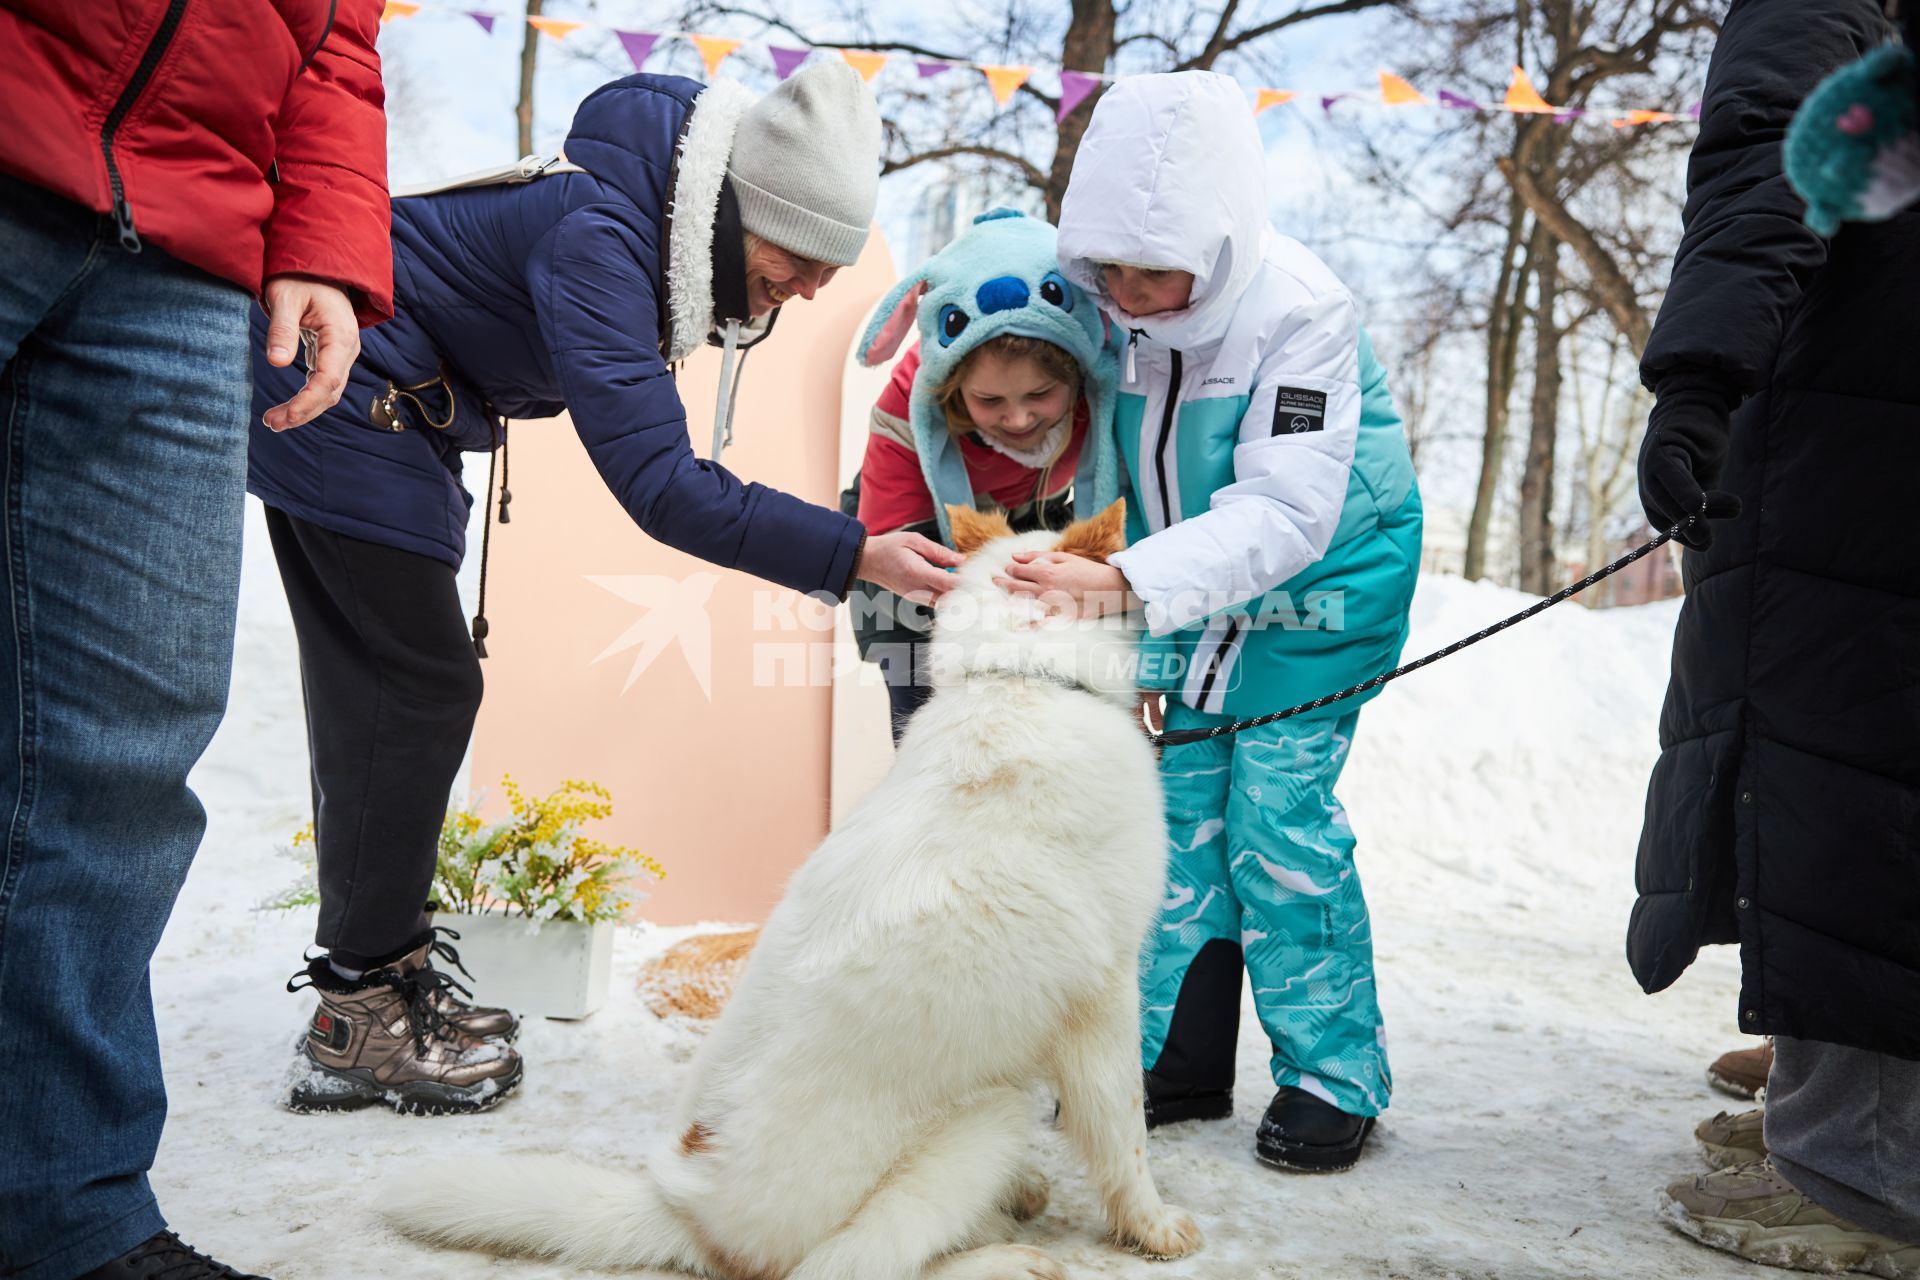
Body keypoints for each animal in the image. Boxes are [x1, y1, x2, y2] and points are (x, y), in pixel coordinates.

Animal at [384, 502, 1198, 1280]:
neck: (1022, 678)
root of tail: (687, 1217)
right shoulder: (1105, 997)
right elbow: (1125, 1134)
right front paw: (1154, 1227)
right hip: (984, 1116)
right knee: (848, 1266)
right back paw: (1003, 1258)